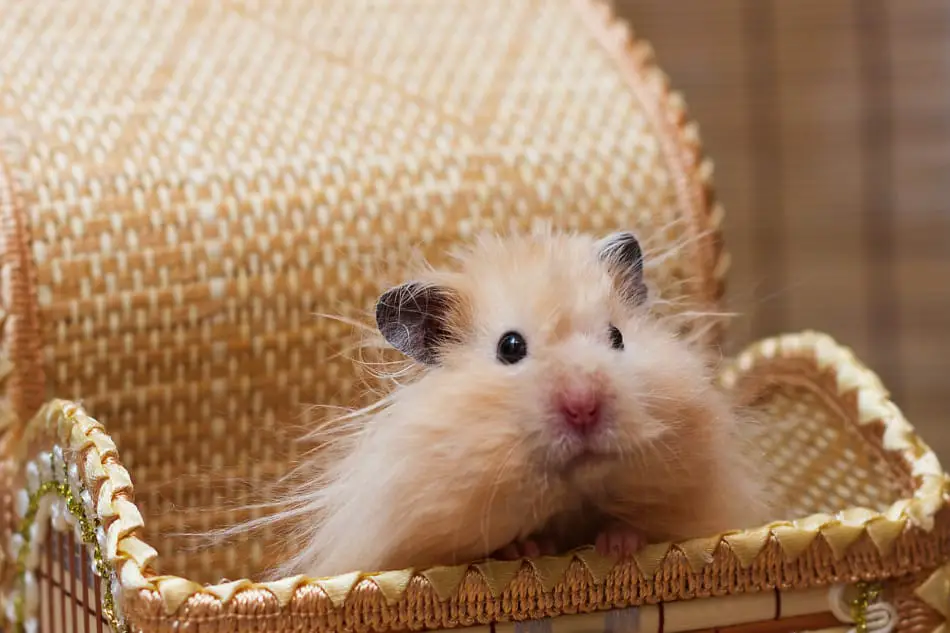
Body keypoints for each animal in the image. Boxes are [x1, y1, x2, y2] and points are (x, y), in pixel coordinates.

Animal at [234, 231, 768, 576]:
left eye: (617, 337)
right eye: (510, 348)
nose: (584, 408)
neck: (568, 502)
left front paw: (617, 545)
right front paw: (526, 548)